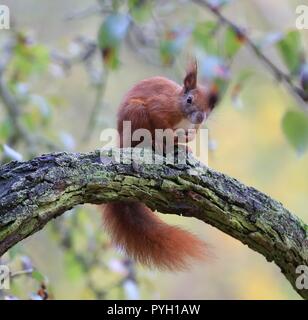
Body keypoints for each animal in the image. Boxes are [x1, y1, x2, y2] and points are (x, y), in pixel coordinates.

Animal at [103, 60, 217, 270]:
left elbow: (190, 134)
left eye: (211, 105)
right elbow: (160, 121)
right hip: (136, 114)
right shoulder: (160, 107)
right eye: (189, 100)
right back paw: (156, 145)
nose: (200, 117)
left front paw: (186, 141)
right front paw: (169, 138)